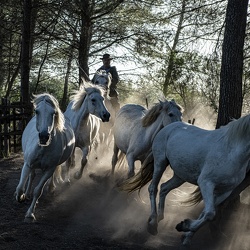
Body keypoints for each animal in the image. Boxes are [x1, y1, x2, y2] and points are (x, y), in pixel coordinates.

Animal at [14, 93, 74, 222]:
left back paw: (51, 188)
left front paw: (30, 214)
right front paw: (21, 196)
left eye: (53, 113)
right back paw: (27, 194)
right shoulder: (27, 164)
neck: (43, 148)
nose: (44, 137)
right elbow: (20, 187)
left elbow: (38, 191)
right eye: (37, 111)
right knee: (31, 176)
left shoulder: (49, 169)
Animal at [120, 116, 250, 246]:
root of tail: (168, 127)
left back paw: (160, 217)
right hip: (160, 163)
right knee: (153, 188)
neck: (231, 151)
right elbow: (209, 214)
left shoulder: (225, 191)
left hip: (180, 176)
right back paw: (152, 223)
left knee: (164, 188)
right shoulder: (206, 183)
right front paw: (183, 226)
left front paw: (186, 236)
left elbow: (205, 213)